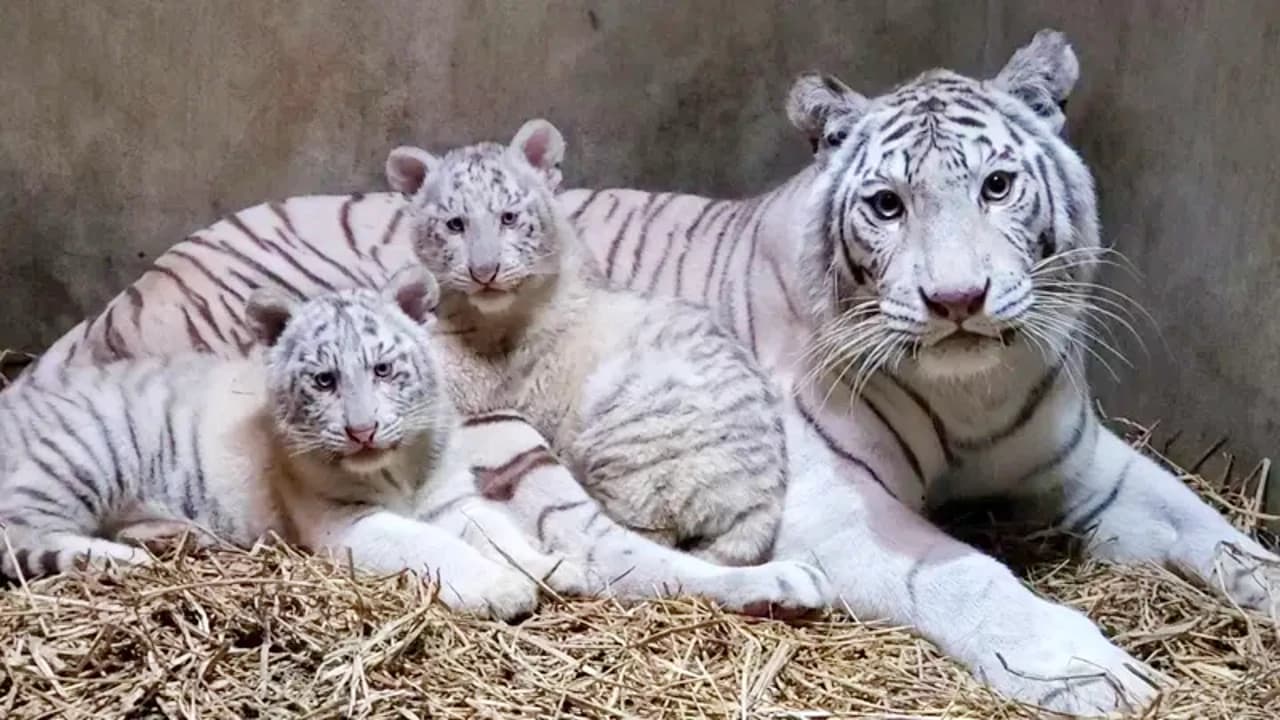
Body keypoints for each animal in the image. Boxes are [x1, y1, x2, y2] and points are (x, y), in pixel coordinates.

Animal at [20, 28, 1280, 712]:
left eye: (996, 186)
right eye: (884, 204)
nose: (955, 301)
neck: (971, 389)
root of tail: (134, 285)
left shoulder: (1092, 466)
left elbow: (1215, 535)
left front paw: (1256, 585)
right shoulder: (827, 501)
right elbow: (966, 576)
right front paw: (1080, 666)